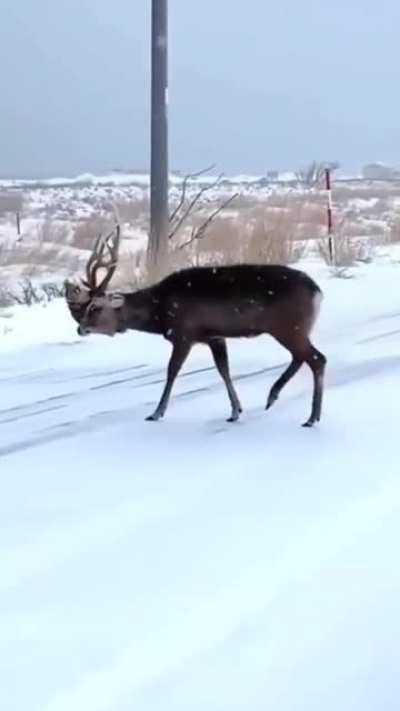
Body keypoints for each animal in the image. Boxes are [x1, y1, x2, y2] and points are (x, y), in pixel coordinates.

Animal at [65, 224, 326, 426]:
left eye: (95, 307)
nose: (80, 328)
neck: (159, 311)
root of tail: (318, 292)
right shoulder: (214, 336)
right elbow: (223, 369)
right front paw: (235, 411)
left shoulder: (183, 333)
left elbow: (172, 371)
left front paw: (156, 413)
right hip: (292, 329)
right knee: (302, 357)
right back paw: (273, 397)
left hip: (287, 326)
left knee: (316, 358)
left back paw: (311, 417)